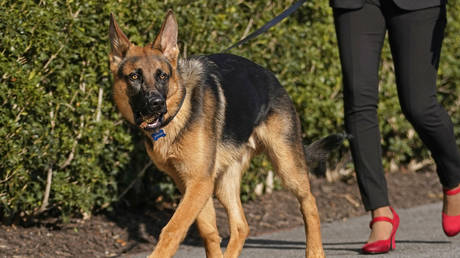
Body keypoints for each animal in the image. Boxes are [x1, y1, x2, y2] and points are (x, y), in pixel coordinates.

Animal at [108, 10, 342, 258]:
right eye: (134, 77)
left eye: (162, 76)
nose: (156, 104)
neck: (180, 111)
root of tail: (272, 78)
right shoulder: (192, 184)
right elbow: (208, 231)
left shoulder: (199, 182)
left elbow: (173, 229)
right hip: (223, 183)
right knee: (241, 225)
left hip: (286, 165)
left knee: (310, 202)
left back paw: (315, 250)